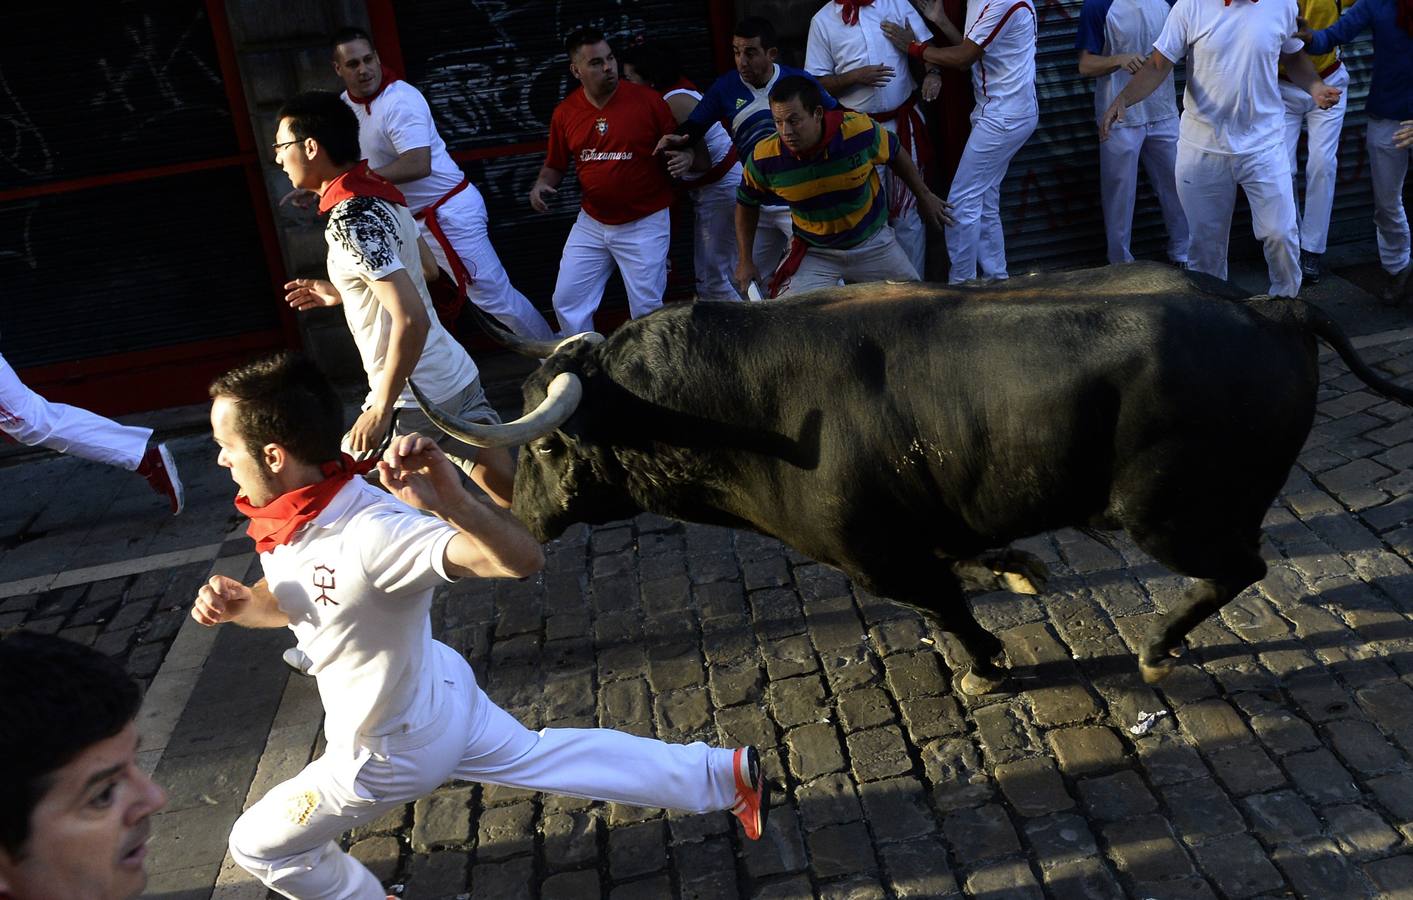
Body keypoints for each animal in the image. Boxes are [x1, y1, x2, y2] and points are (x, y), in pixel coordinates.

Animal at [412, 262, 1413, 692]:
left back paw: (1160, 646)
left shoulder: (873, 554)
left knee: (1238, 568)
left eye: (547, 448)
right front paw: (1018, 570)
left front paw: (986, 667)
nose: (523, 524)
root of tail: (1269, 305)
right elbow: (966, 568)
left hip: (1168, 514)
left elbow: (943, 604)